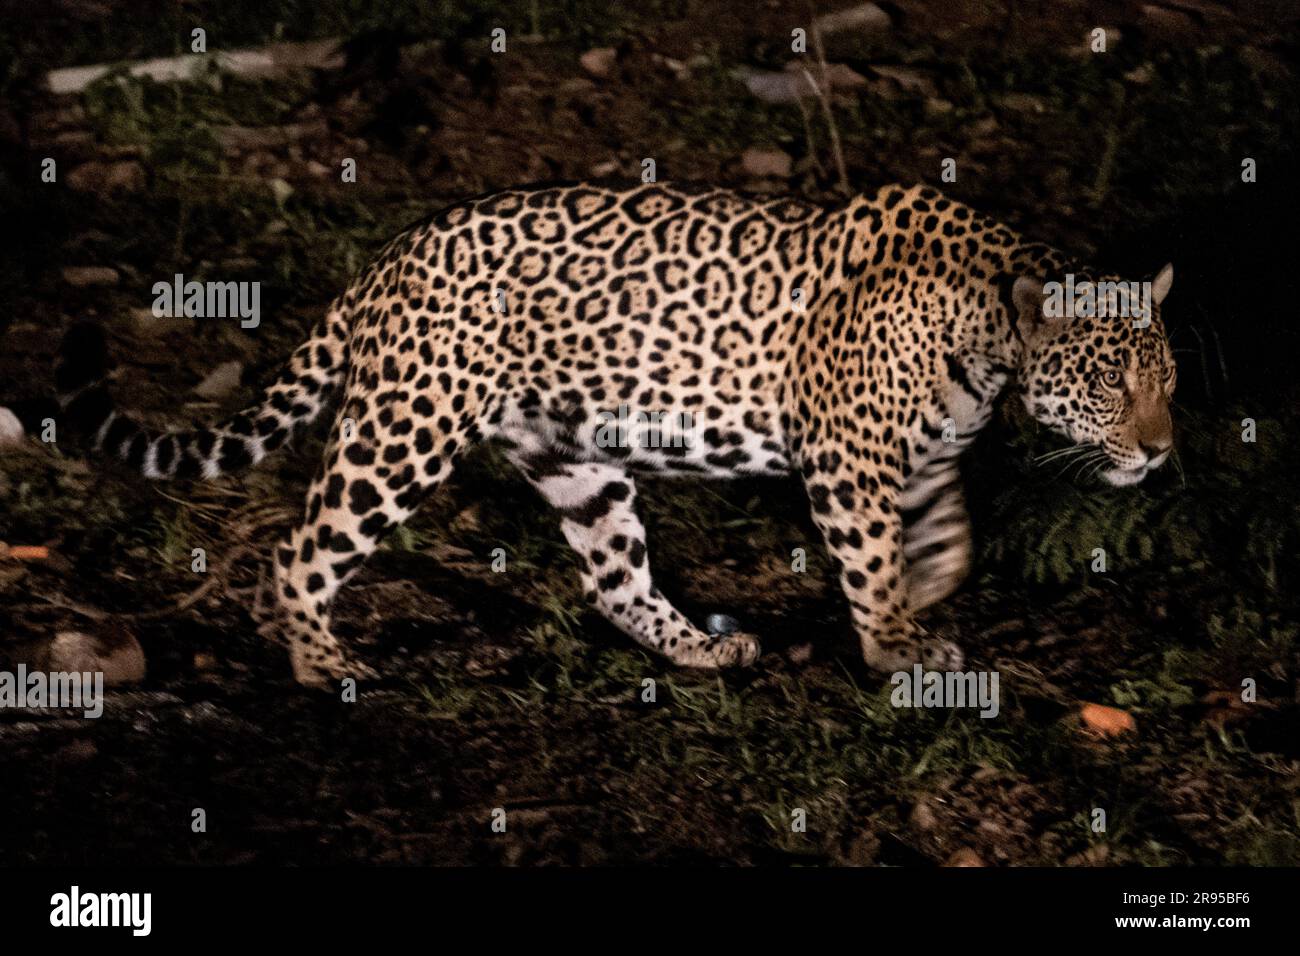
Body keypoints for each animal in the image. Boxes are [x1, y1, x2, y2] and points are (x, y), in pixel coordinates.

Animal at [54, 181, 1176, 688]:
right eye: (1109, 380)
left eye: (1166, 379)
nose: (1161, 446)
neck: (990, 337)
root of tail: (391, 254)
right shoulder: (849, 461)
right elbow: (871, 558)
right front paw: (895, 640)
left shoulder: (922, 457)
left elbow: (947, 539)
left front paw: (927, 606)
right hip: (405, 430)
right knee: (302, 543)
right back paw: (322, 660)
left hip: (574, 458)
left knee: (612, 578)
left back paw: (702, 650)